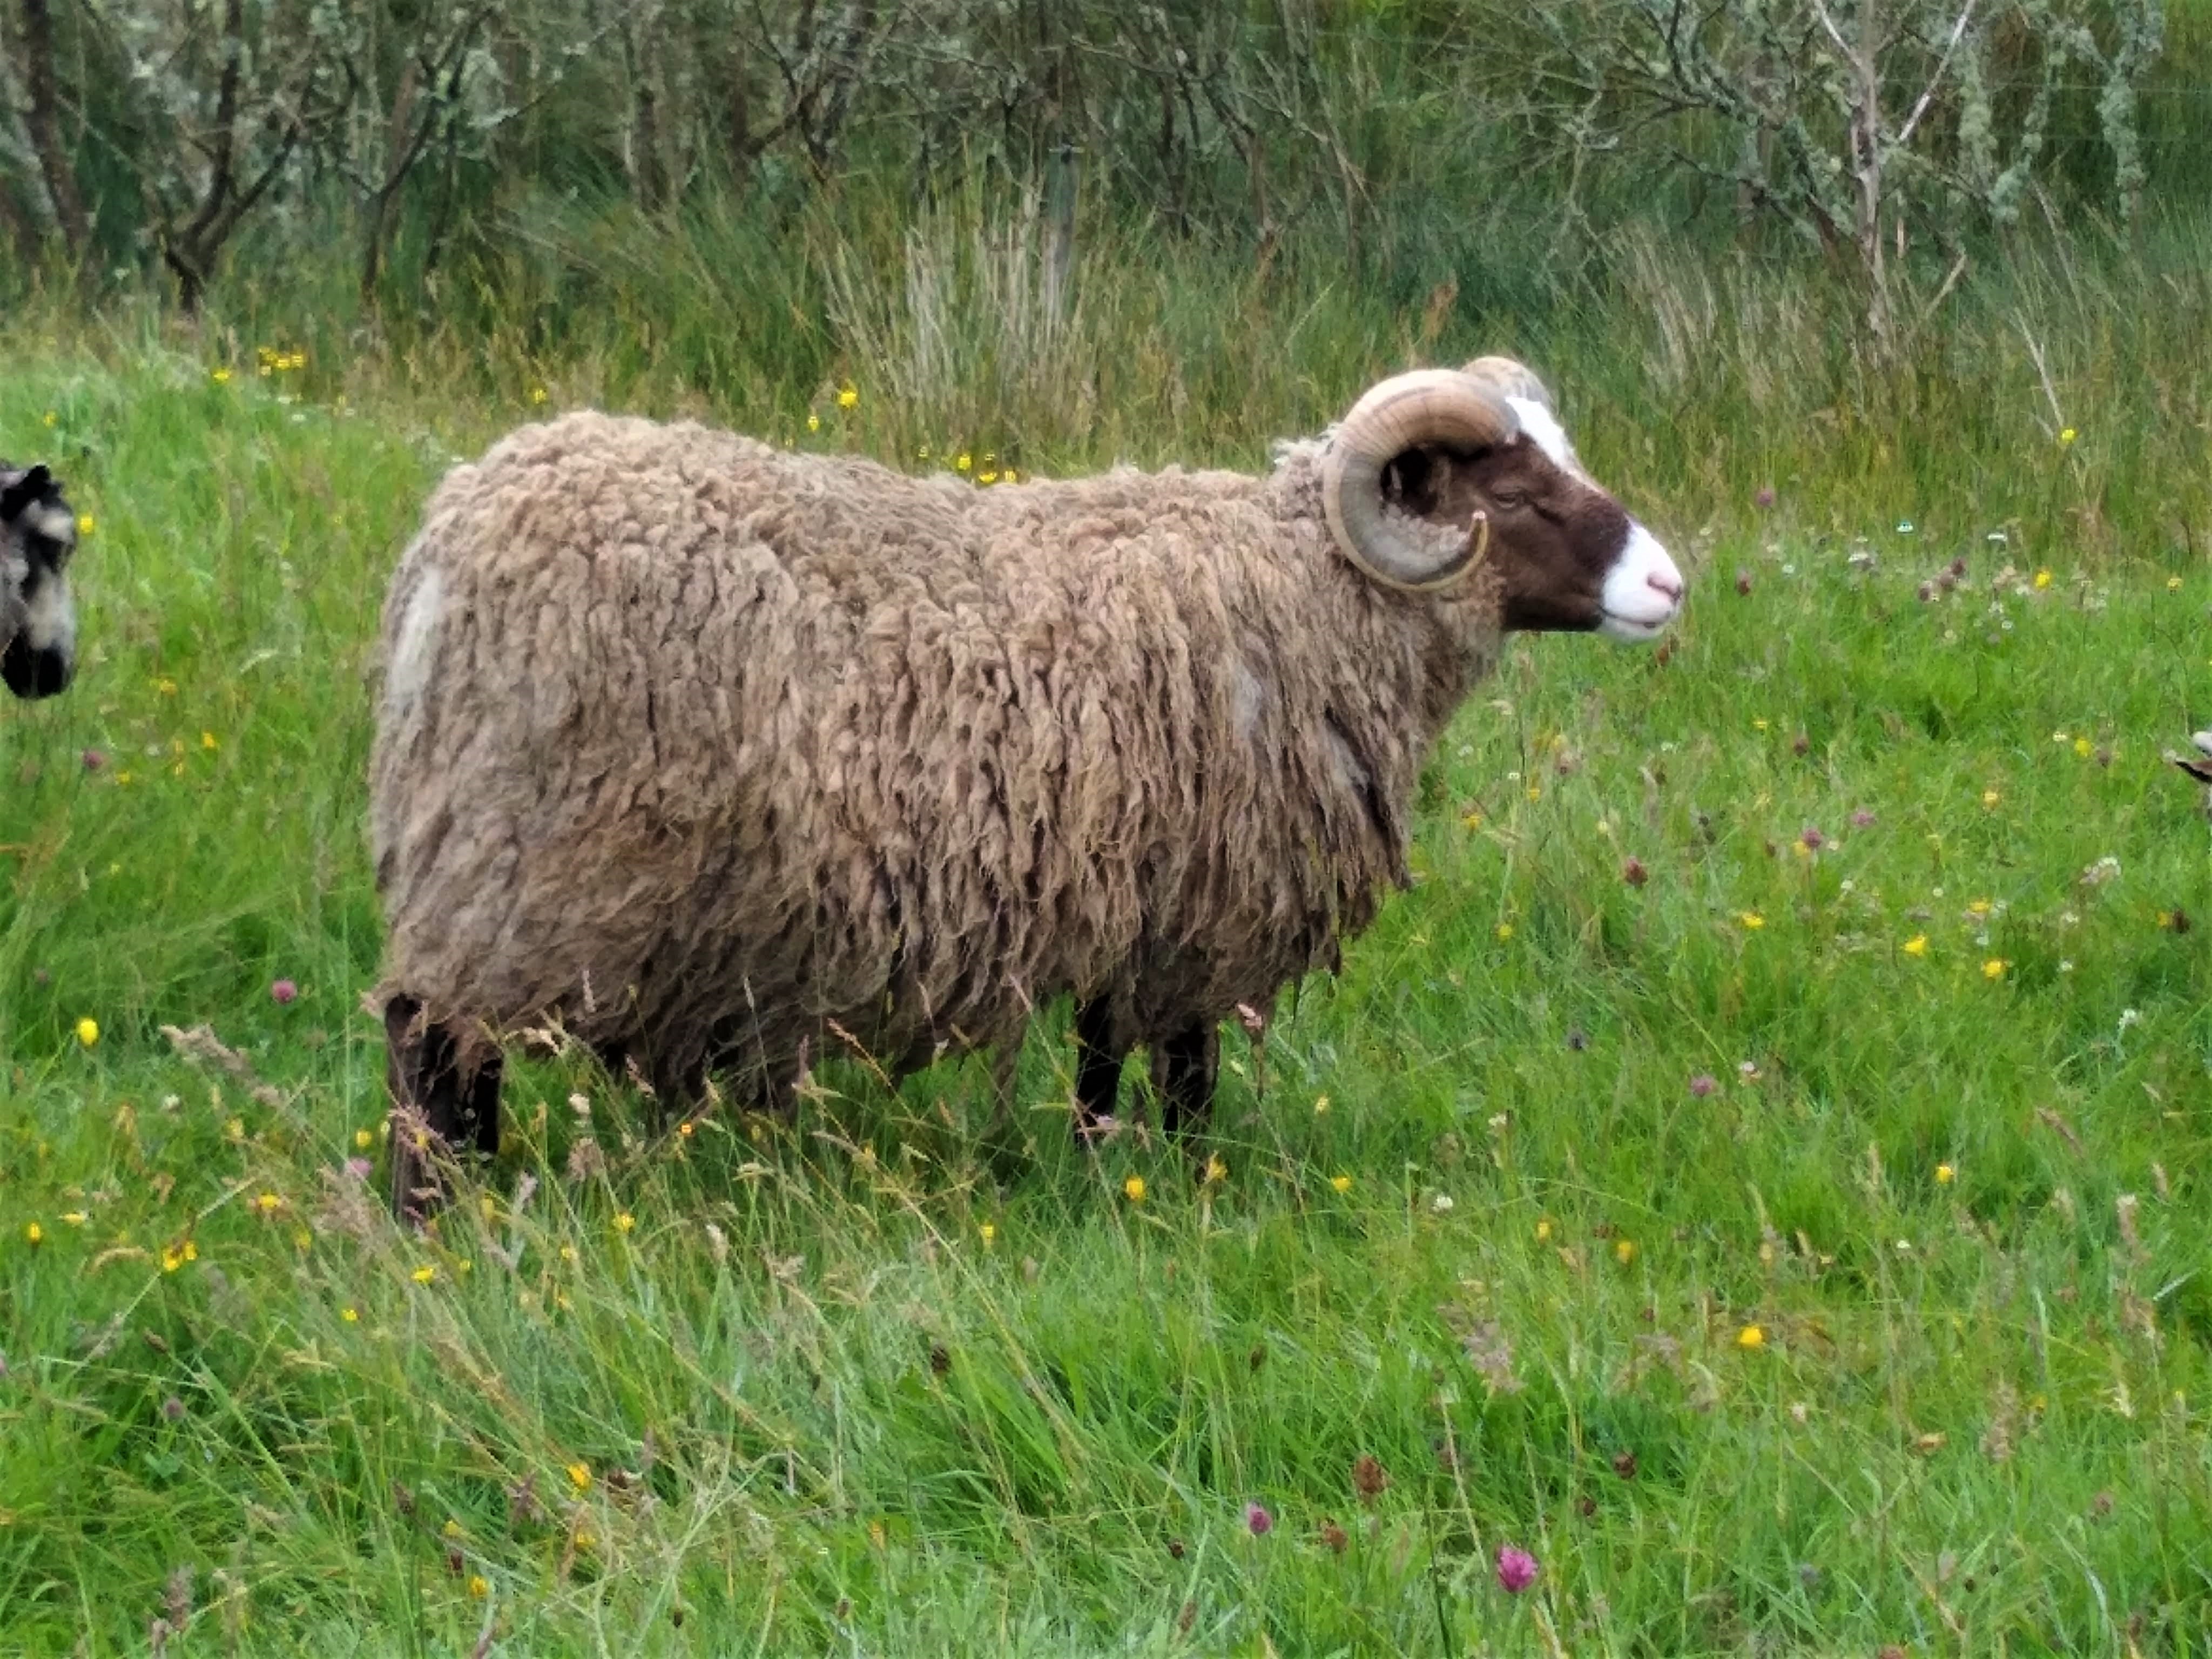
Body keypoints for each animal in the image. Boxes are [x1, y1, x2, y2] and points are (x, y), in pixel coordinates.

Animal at [371, 357, 1686, 1213]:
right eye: (1508, 496)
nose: (1670, 584)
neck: (1304, 585)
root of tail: (442, 550)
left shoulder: (1132, 899)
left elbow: (1107, 1066)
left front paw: (1109, 1177)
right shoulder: (1197, 903)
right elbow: (1183, 1076)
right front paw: (1184, 1193)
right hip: (527, 864)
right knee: (429, 1048)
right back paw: (436, 1219)